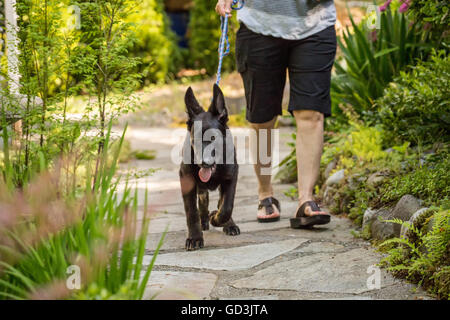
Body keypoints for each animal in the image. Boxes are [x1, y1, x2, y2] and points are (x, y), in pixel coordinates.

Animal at [179, 84, 241, 251]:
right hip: (200, 187)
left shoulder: (231, 177)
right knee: (203, 201)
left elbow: (226, 206)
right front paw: (195, 237)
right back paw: (205, 221)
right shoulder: (186, 180)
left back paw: (227, 224)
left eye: (213, 138)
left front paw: (217, 219)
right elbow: (191, 212)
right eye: (195, 140)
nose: (203, 162)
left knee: (220, 202)